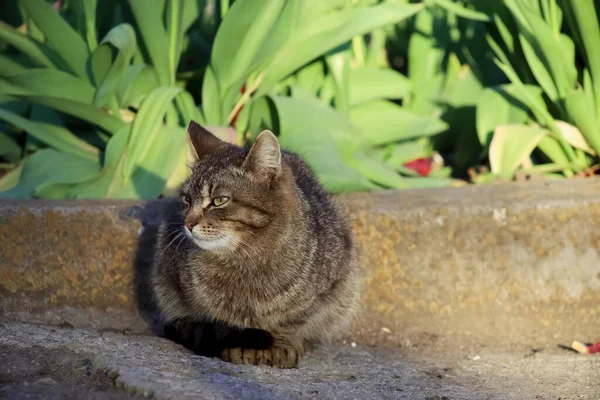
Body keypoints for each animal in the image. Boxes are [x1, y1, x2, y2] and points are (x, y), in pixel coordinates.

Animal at [150, 121, 360, 368]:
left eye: (219, 200)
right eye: (187, 200)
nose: (188, 223)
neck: (243, 258)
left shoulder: (326, 291)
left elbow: (290, 322)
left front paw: (280, 345)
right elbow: (222, 321)